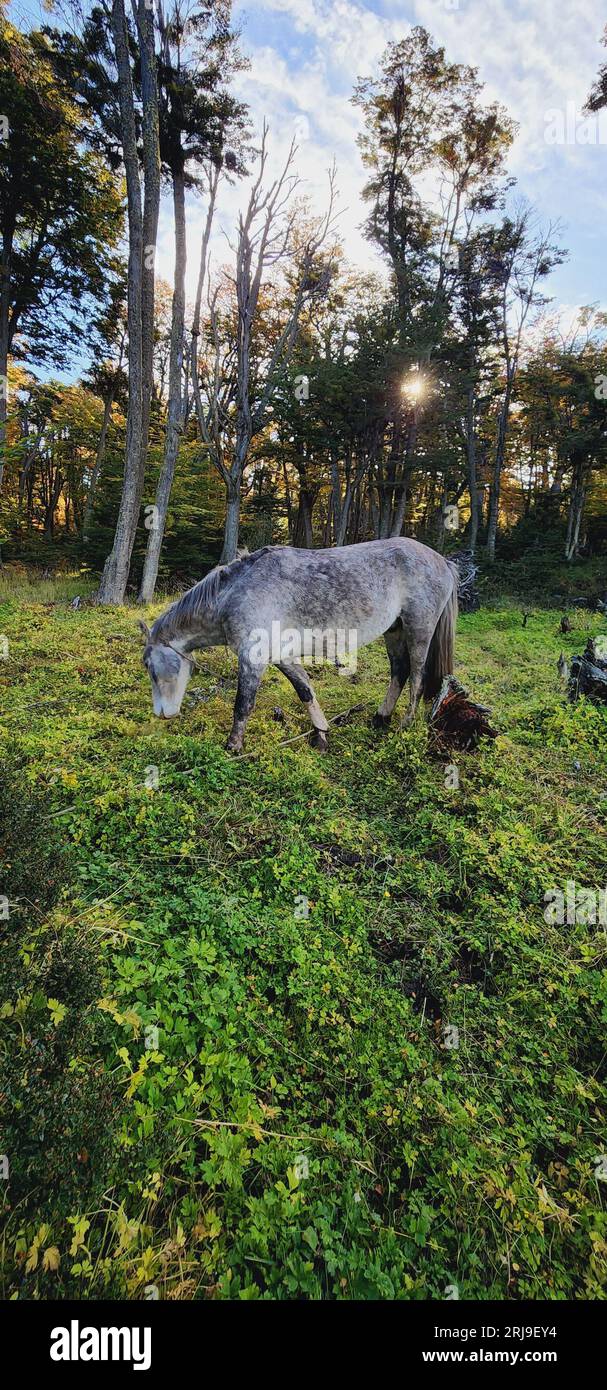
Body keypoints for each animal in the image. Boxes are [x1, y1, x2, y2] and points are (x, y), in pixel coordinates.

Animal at [139, 536, 455, 756]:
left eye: (149, 666)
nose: (162, 713)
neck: (235, 594)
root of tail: (443, 562)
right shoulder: (283, 657)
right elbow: (305, 691)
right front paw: (321, 735)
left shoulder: (252, 658)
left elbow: (243, 704)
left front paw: (233, 747)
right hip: (394, 631)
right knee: (399, 672)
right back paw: (380, 719)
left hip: (418, 629)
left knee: (416, 677)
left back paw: (404, 726)